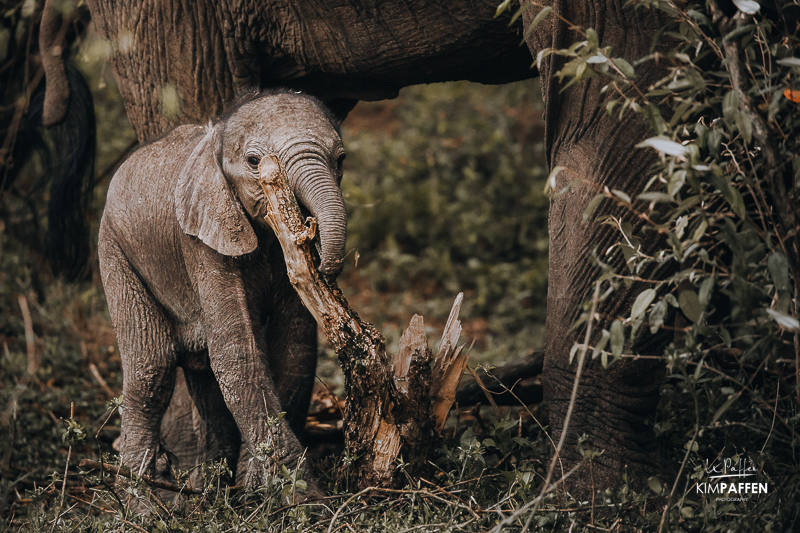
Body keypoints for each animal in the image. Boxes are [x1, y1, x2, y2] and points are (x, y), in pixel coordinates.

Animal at [97, 89, 346, 492]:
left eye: (341, 160)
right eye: (254, 161)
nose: (325, 264)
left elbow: (294, 348)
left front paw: (254, 486)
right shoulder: (199, 241)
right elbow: (238, 355)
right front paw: (306, 498)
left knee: (203, 375)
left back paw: (209, 490)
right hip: (114, 249)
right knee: (151, 370)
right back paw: (142, 500)